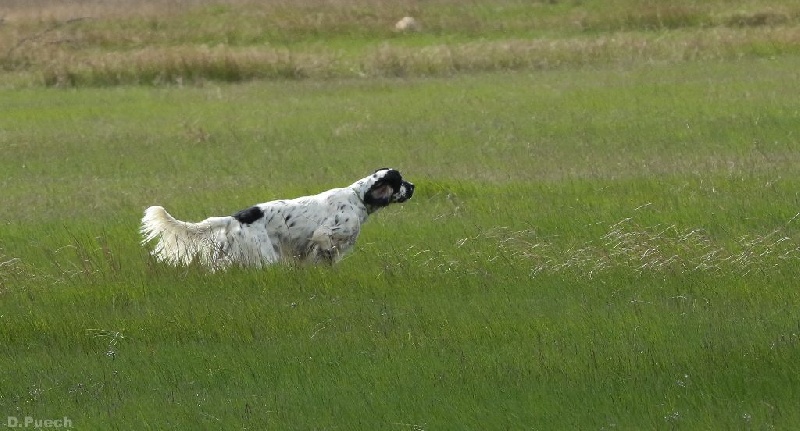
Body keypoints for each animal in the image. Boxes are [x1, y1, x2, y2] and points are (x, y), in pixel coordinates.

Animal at [141, 169, 416, 270]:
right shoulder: (325, 236)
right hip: (264, 255)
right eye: (400, 181)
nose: (413, 186)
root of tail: (234, 218)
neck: (357, 197)